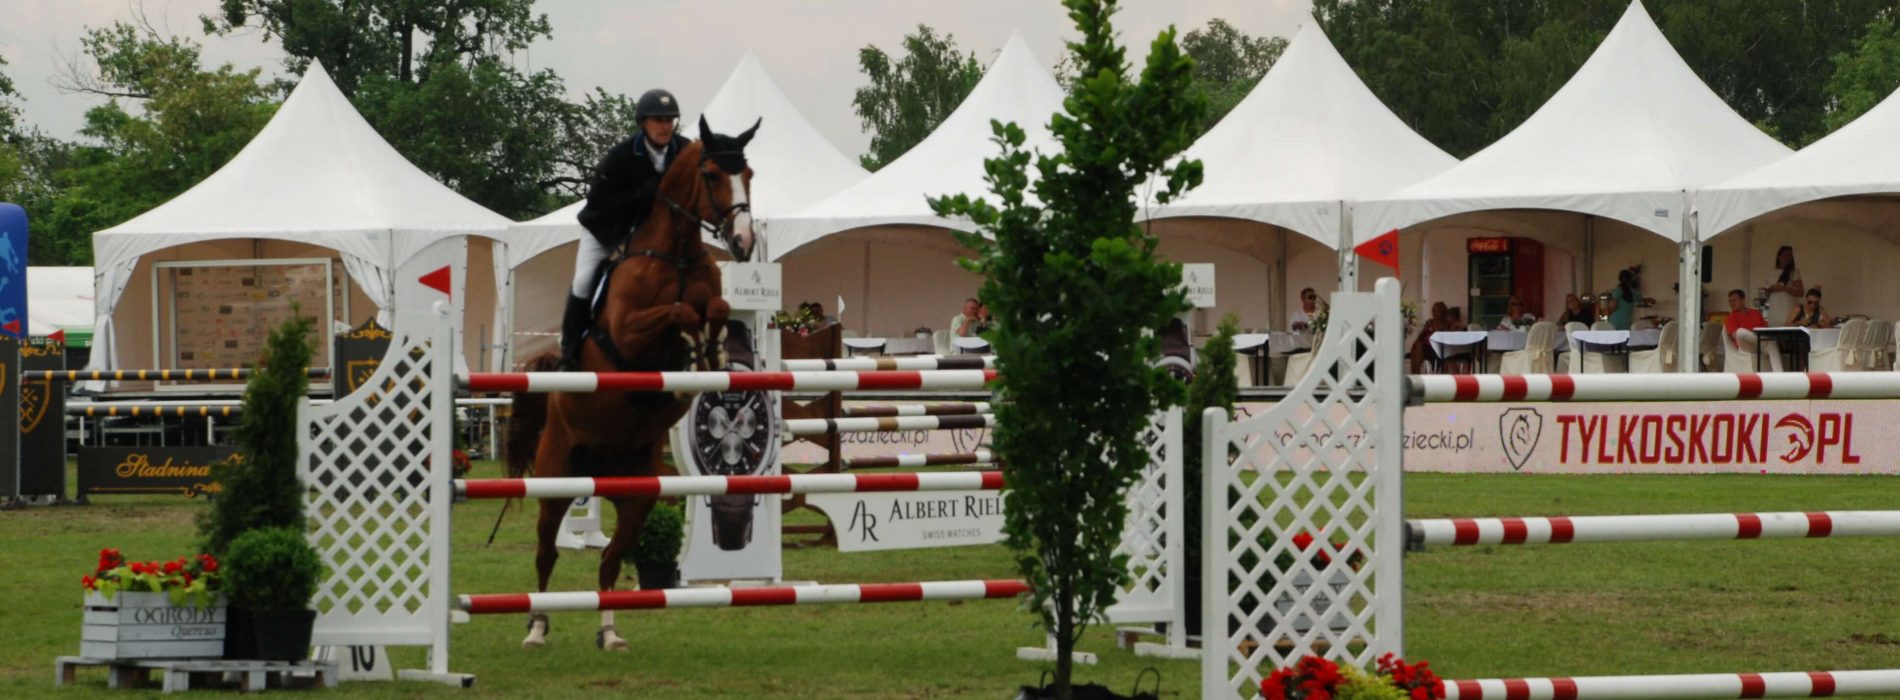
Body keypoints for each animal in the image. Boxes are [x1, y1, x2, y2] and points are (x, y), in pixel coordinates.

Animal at [513, 116, 763, 650]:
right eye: (712, 174)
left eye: (748, 173)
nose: (743, 243)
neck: (677, 256)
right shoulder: (628, 333)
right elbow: (679, 312)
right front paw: (694, 346)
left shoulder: (712, 297)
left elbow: (715, 307)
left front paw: (709, 351)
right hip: (556, 480)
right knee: (546, 553)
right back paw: (537, 627)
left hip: (638, 496)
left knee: (610, 561)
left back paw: (610, 633)